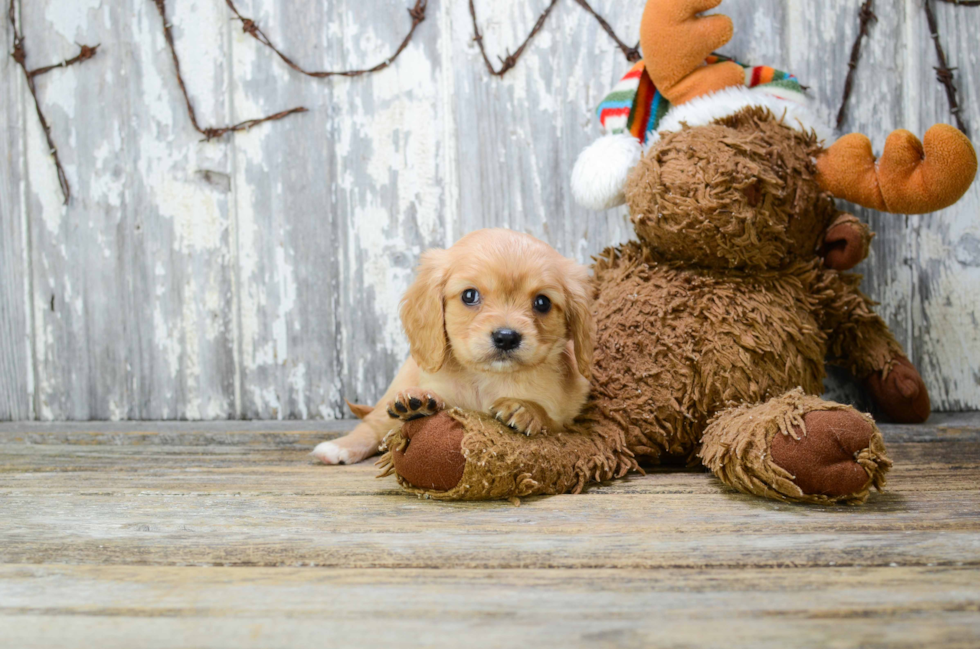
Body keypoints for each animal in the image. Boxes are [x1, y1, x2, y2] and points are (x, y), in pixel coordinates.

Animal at [314, 228, 592, 466]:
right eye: (470, 295)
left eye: (542, 302)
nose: (506, 337)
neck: (487, 378)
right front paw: (421, 405)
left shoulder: (567, 420)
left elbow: (549, 418)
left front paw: (525, 408)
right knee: (373, 423)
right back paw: (341, 446)